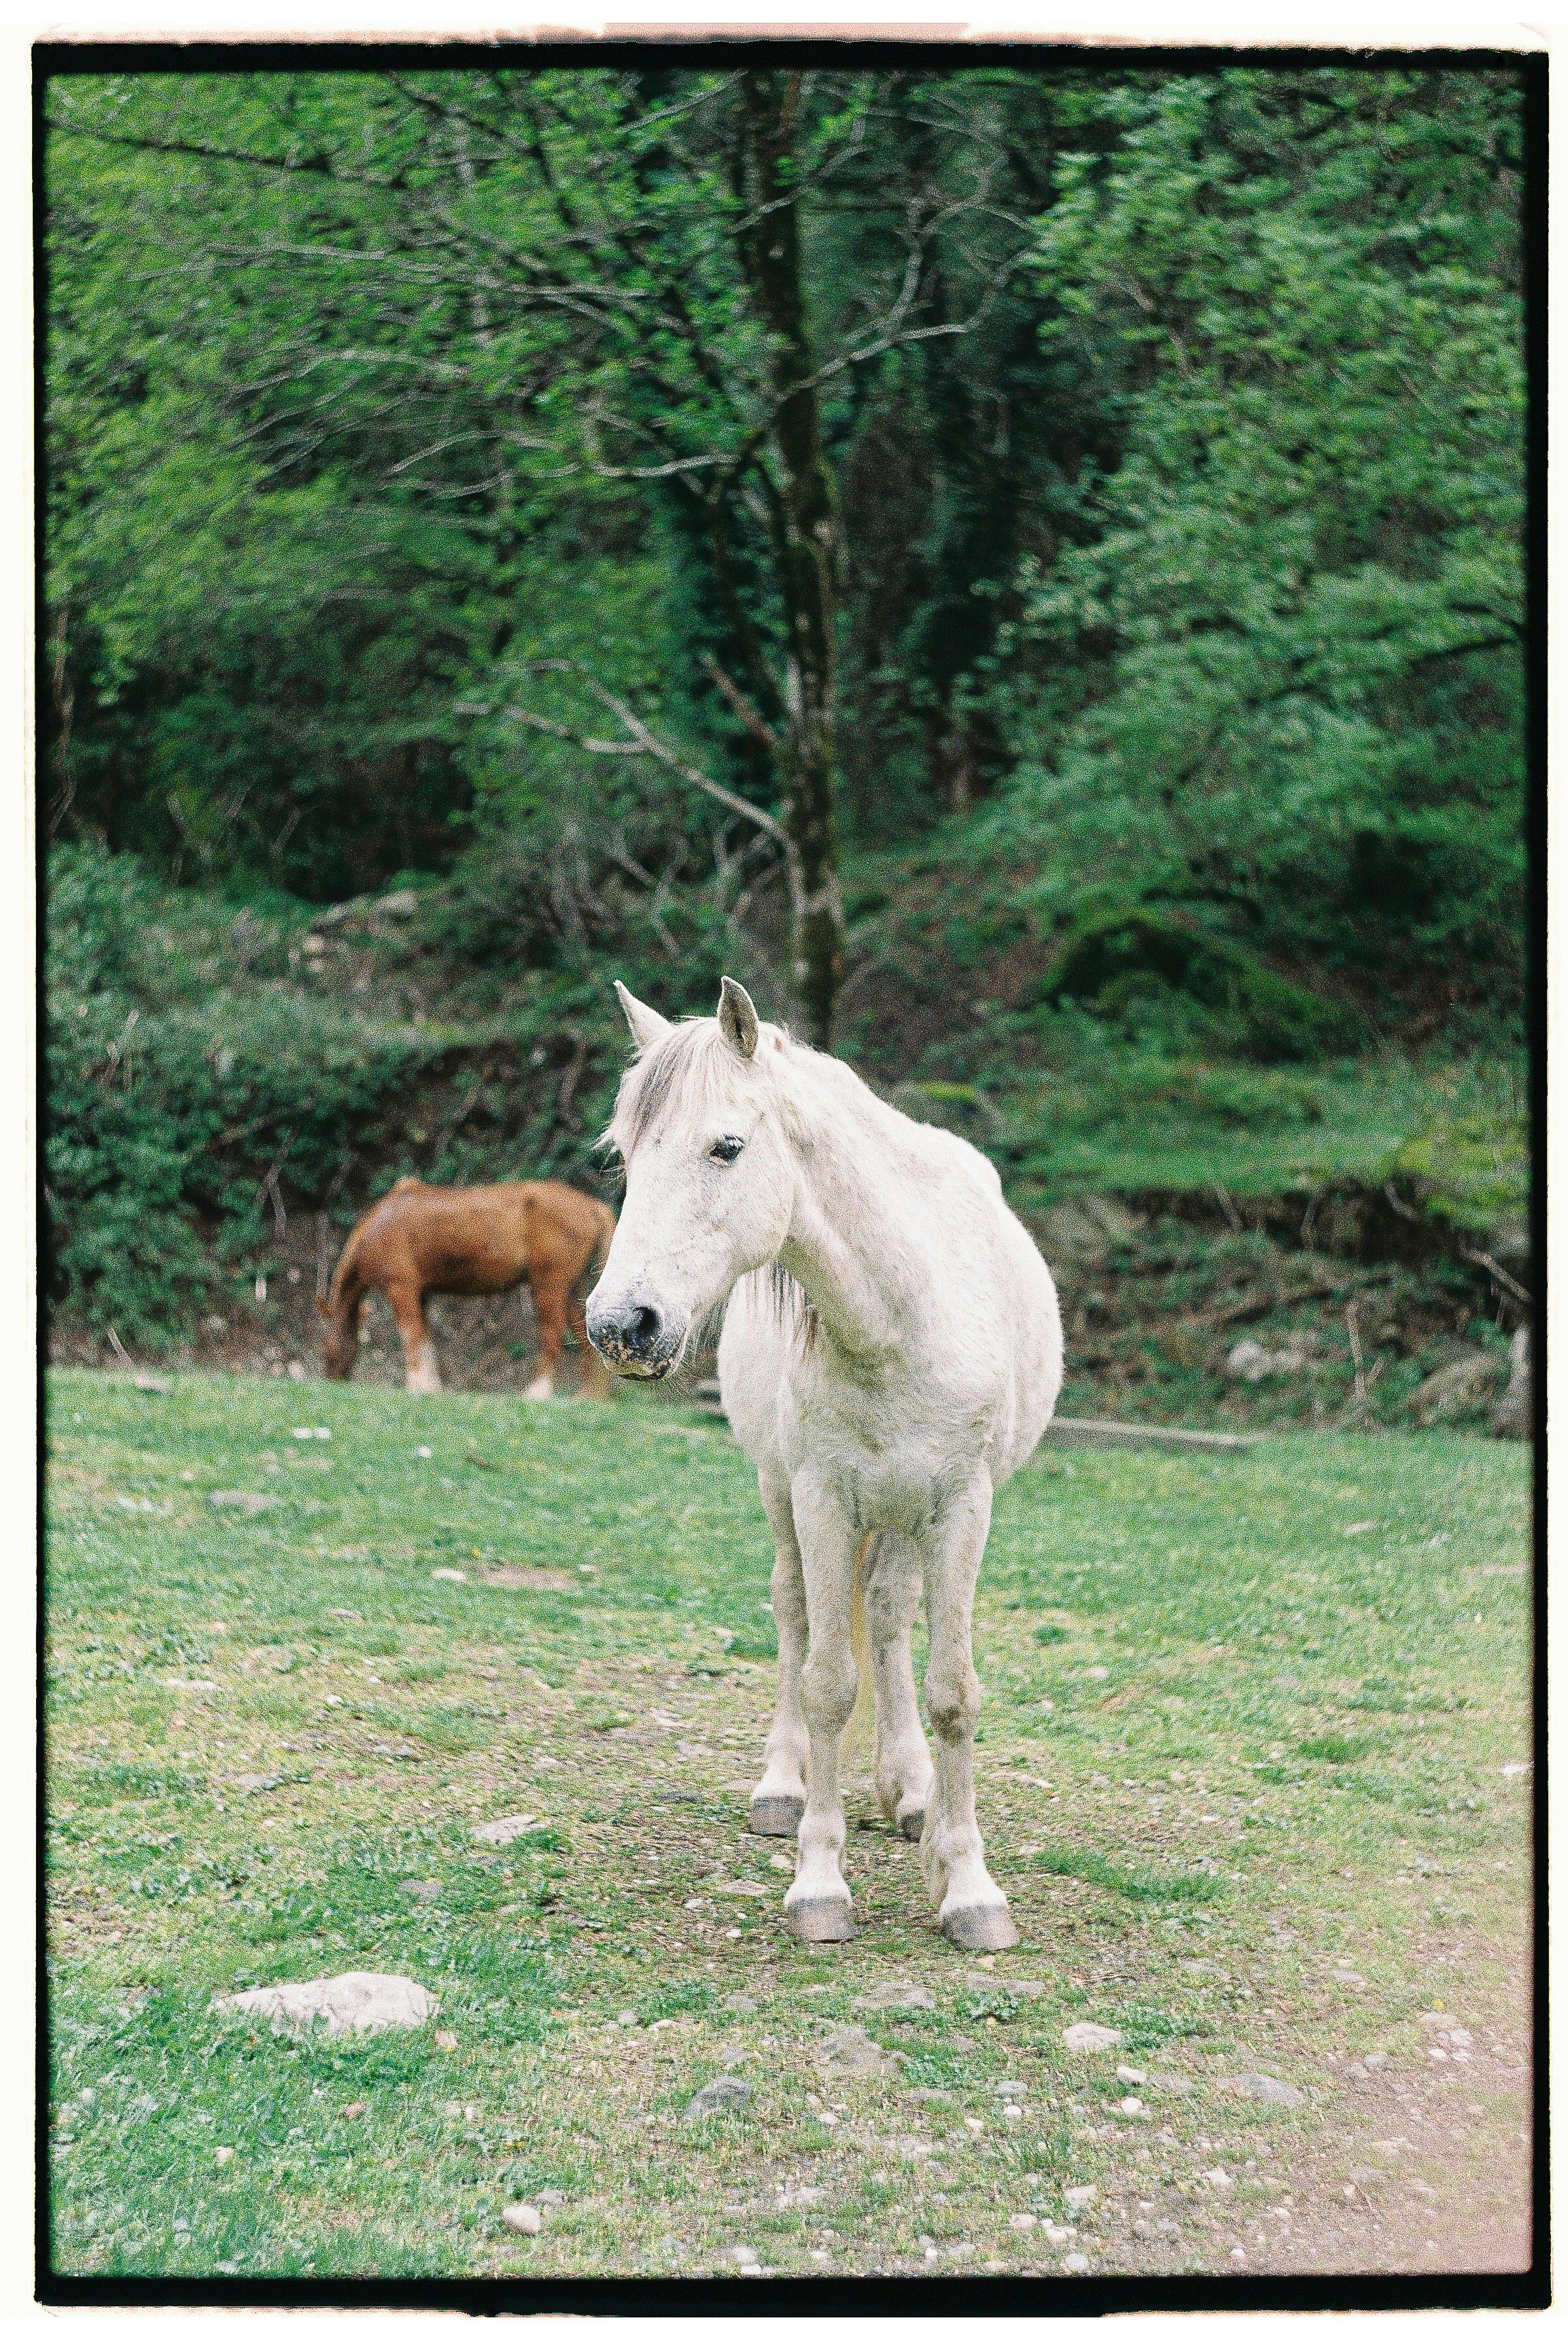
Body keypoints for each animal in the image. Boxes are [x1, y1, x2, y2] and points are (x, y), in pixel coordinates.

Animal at [319, 1177, 616, 1399]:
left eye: (325, 1344)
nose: (331, 1380)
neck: (378, 1227)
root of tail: (593, 1206)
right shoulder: (421, 1295)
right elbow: (425, 1339)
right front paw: (432, 1387)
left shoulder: (401, 1290)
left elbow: (412, 1338)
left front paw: (417, 1387)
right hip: (572, 1289)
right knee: (584, 1337)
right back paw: (590, 1396)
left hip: (550, 1286)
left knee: (552, 1336)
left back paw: (537, 1393)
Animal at [587, 976, 1062, 1952]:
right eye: (623, 1156)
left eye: (726, 1146)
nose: (622, 1325)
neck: (901, 1312)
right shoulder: (821, 1495)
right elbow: (827, 1682)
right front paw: (818, 1880)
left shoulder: (962, 1504)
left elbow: (952, 1690)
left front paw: (967, 1885)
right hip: (788, 1494)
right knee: (797, 1609)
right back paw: (785, 1784)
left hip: (905, 1515)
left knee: (885, 1614)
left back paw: (911, 1792)